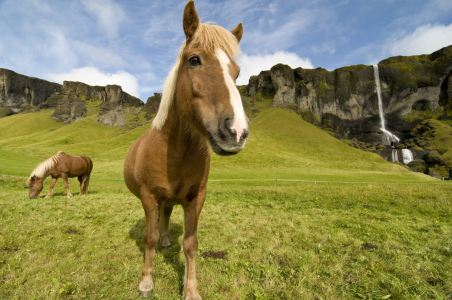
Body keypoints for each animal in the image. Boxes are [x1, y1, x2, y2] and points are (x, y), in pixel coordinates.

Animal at [123, 1, 249, 298]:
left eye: (237, 72)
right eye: (194, 60)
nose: (236, 131)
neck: (175, 152)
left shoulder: (196, 198)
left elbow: (191, 244)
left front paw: (190, 288)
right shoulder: (148, 197)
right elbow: (148, 237)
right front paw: (146, 281)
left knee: (167, 217)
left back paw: (167, 240)